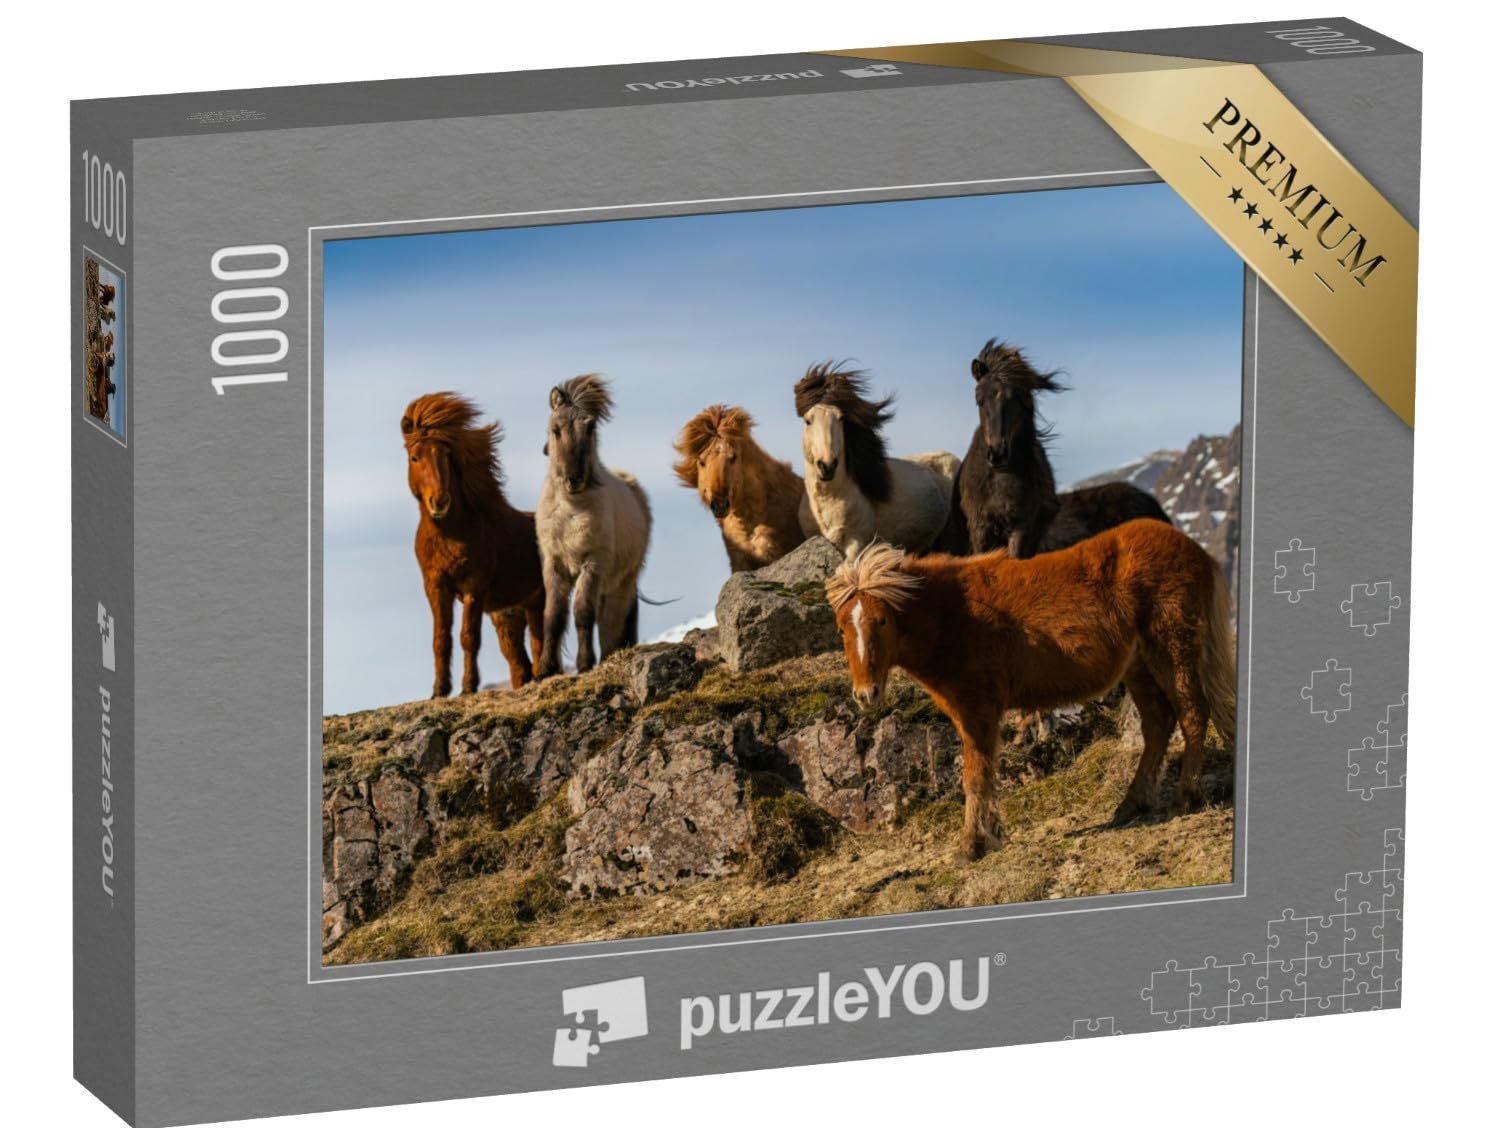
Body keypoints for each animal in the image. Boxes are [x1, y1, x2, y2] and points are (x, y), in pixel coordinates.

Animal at [401, 392, 546, 696]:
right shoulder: (435, 586)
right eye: (414, 457)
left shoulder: (474, 586)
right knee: (523, 659)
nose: (439, 501)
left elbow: (468, 636)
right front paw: (439, 690)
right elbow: (441, 638)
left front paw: (468, 687)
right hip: (517, 609)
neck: (450, 534)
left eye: (446, 456)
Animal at [535, 374, 653, 677]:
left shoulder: (592, 564)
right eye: (556, 430)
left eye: (589, 428)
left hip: (619, 584)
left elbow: (582, 613)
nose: (573, 479)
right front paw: (545, 669)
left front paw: (584, 664)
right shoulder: (554, 565)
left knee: (611, 624)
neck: (571, 510)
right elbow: (552, 616)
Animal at [827, 520, 1237, 861]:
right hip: (1139, 667)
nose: (866, 694)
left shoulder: (978, 709)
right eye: (842, 629)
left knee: (1192, 714)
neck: (952, 615)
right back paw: (1130, 805)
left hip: (1172, 650)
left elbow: (975, 777)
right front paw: (989, 836)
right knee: (1158, 725)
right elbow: (983, 774)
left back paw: (1184, 798)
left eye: (882, 621)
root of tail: (1195, 550)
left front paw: (971, 846)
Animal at [940, 340, 1170, 558]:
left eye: (1018, 398)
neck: (1000, 484)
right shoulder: (980, 530)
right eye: (979, 400)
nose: (998, 455)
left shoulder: (1021, 529)